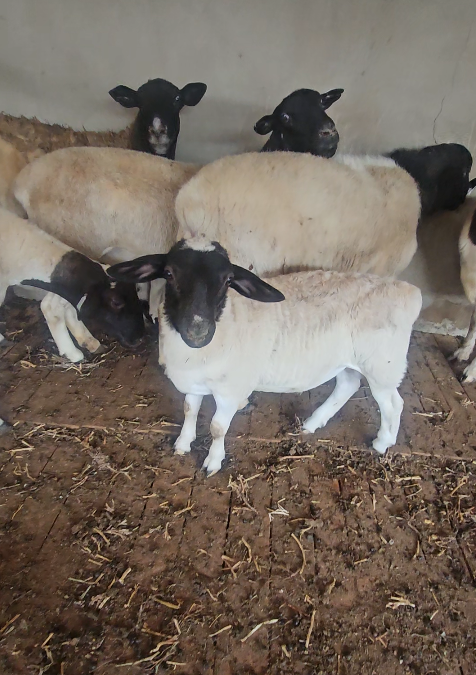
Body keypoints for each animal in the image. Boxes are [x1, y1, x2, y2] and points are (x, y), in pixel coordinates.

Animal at [108, 237, 422, 476]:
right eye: (169, 274)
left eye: (228, 280)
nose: (197, 329)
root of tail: (410, 292)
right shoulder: (193, 381)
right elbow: (189, 410)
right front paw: (183, 443)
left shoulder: (230, 390)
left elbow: (218, 427)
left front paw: (212, 461)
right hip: (349, 360)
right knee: (347, 385)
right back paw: (312, 424)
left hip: (383, 365)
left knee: (393, 403)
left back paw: (382, 442)